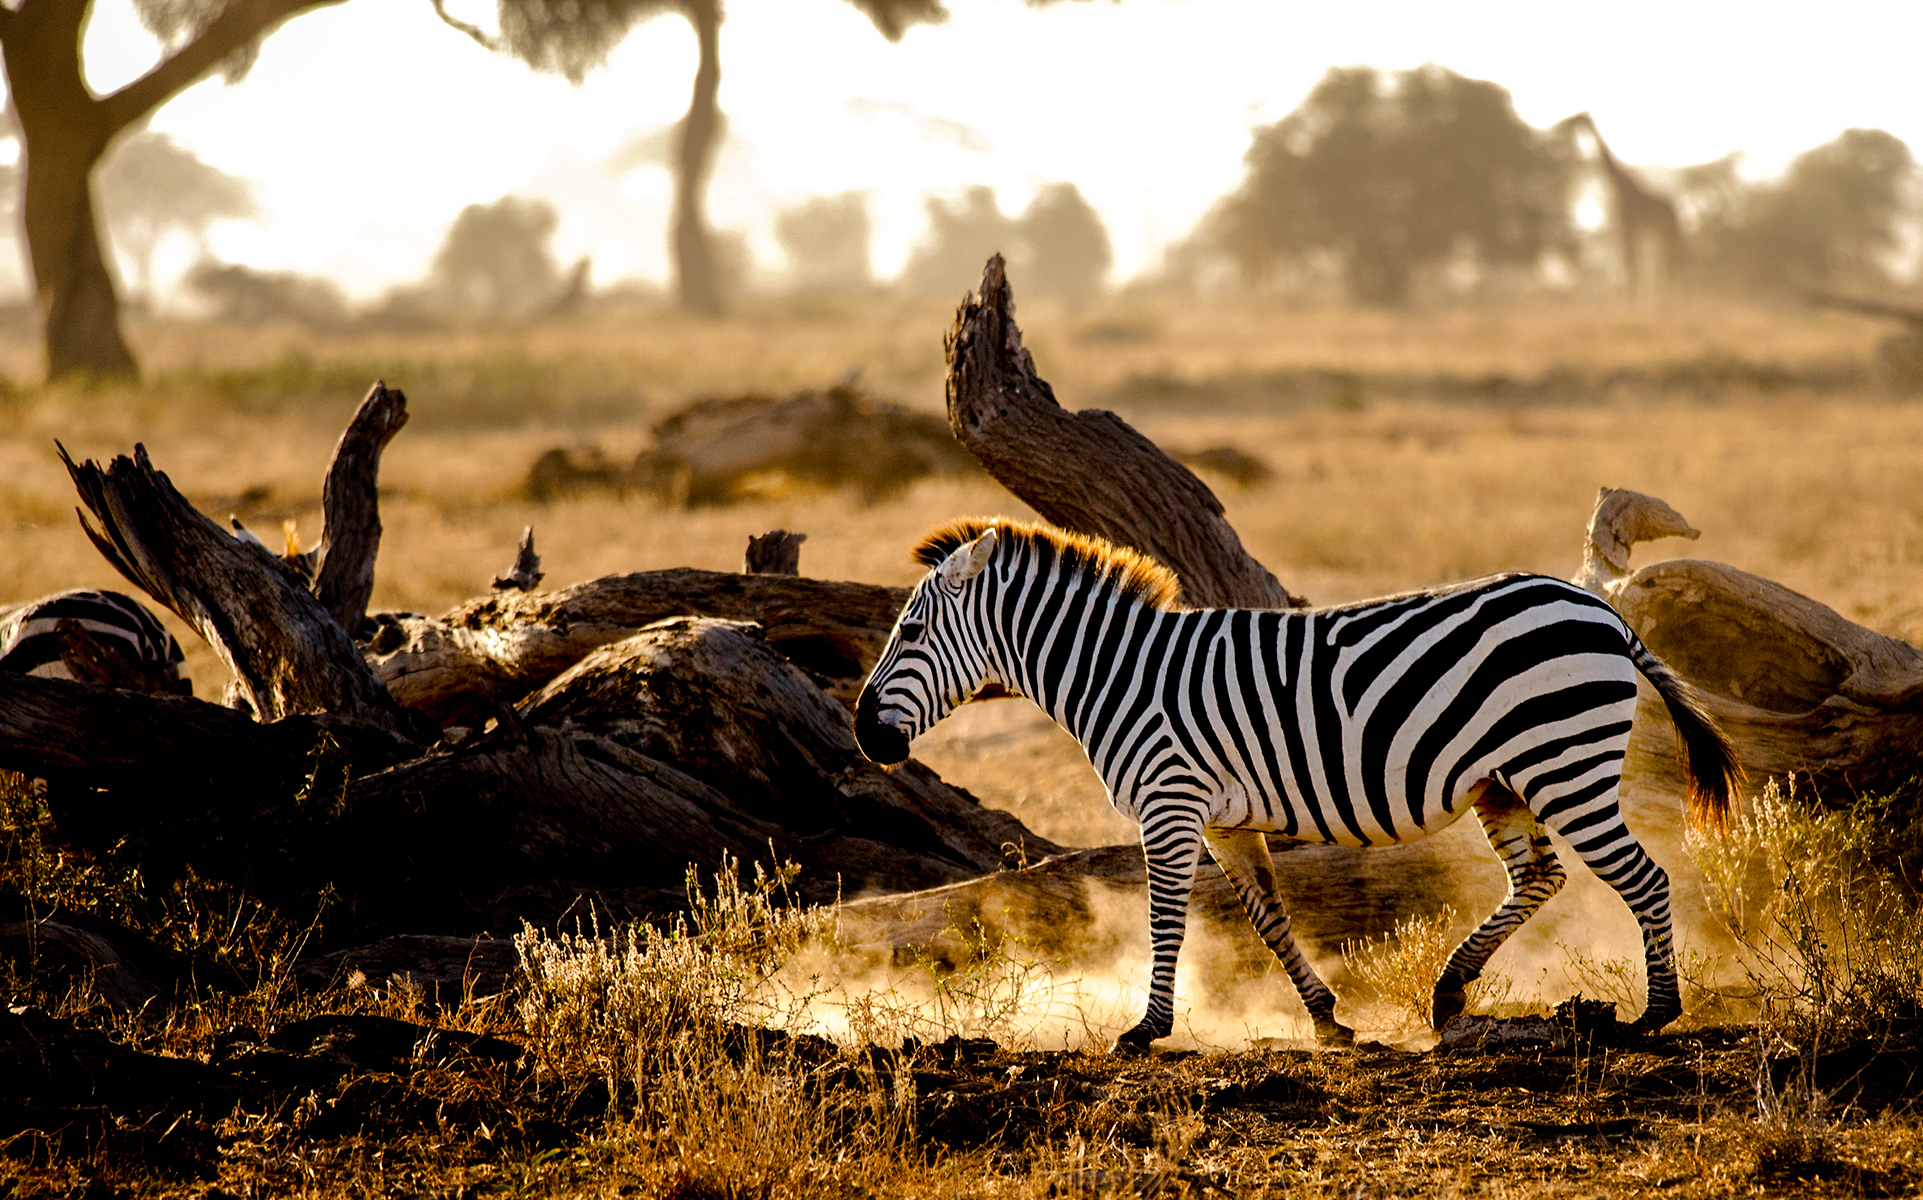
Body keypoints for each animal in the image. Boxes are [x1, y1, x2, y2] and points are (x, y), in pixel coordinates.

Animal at [857, 515, 1746, 1046]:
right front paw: (1327, 1021)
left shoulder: (1168, 801)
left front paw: (1146, 1029)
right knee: (1540, 877)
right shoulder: (1223, 821)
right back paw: (1449, 993)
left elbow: (1164, 921)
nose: (866, 734)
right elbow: (1269, 920)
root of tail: (1602, 612)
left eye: (910, 630)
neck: (1120, 674)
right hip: (1505, 779)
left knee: (1642, 878)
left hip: (1564, 760)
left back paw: (1654, 1014)